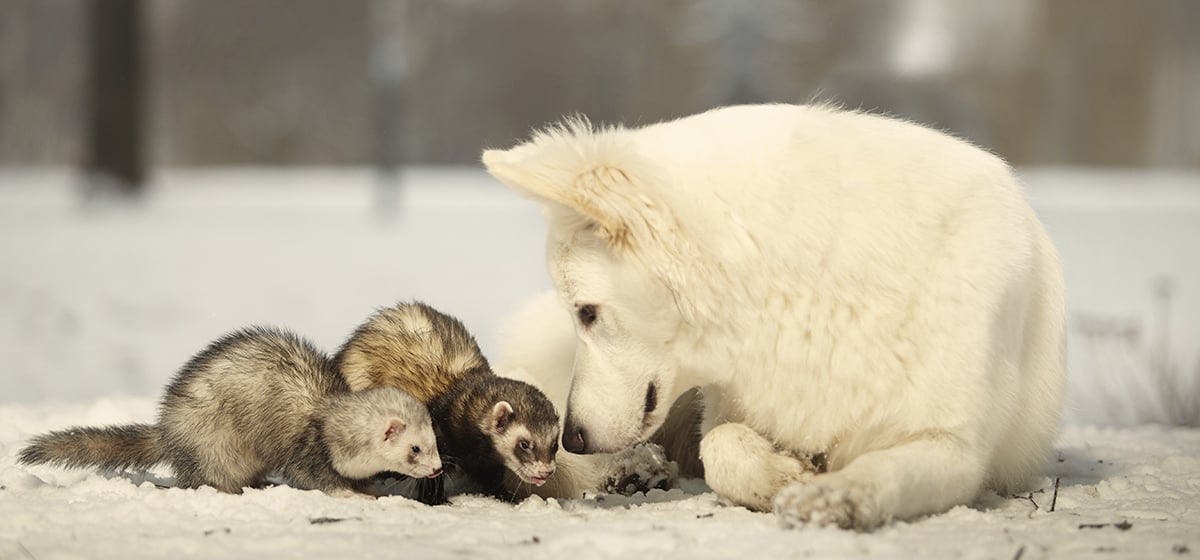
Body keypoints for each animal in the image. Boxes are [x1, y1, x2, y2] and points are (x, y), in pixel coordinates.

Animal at [482, 105, 1065, 530]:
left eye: (586, 312)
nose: (573, 438)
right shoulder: (727, 406)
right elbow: (721, 448)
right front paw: (785, 476)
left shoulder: (956, 448)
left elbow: (883, 467)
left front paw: (834, 494)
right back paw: (631, 468)